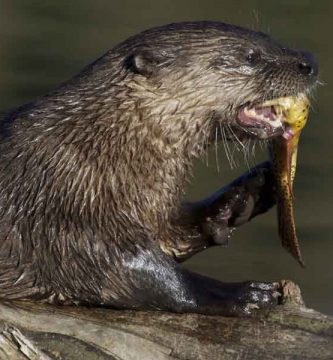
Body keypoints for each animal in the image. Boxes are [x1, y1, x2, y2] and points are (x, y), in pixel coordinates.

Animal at [0, 22, 316, 316]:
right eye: (251, 56)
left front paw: (248, 193)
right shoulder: (62, 212)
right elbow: (129, 272)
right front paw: (240, 294)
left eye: (273, 39)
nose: (309, 62)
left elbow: (173, 233)